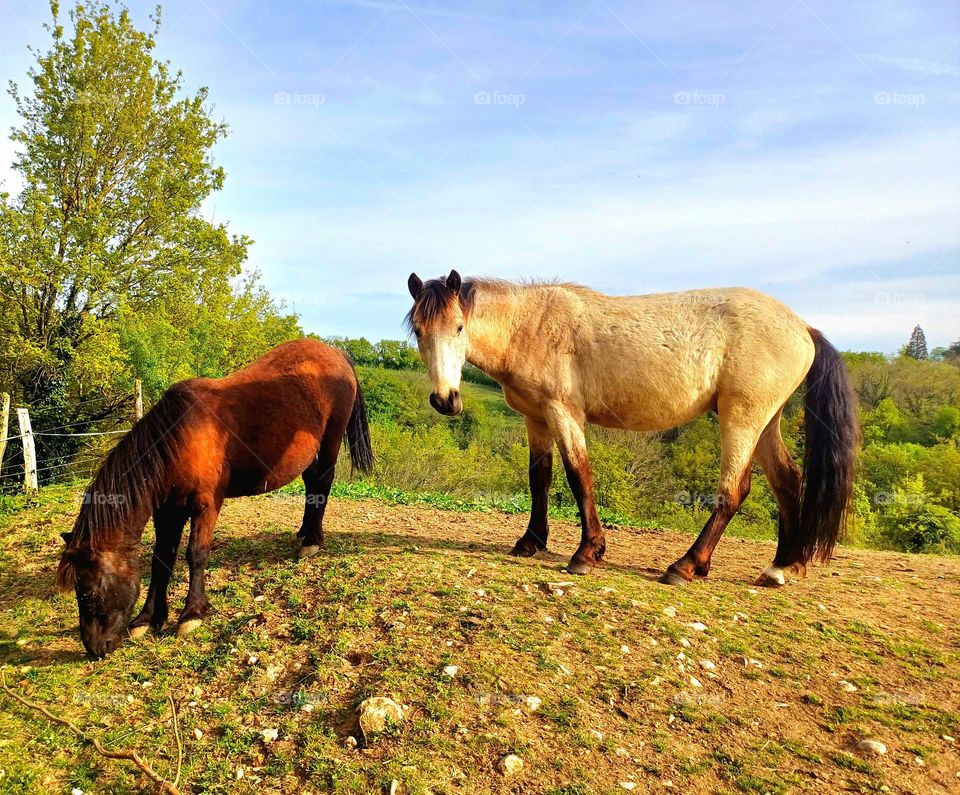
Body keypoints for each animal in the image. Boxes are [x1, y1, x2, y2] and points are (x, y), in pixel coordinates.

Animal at [57, 338, 373, 658]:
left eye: (88, 591)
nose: (95, 647)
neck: (179, 440)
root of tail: (335, 352)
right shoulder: (167, 511)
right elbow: (162, 558)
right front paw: (148, 618)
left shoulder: (204, 506)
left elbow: (196, 553)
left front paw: (191, 615)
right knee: (312, 484)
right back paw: (304, 532)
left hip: (331, 440)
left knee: (323, 483)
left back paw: (313, 540)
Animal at [406, 270, 859, 587]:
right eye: (419, 331)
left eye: (459, 327)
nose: (445, 400)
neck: (530, 326)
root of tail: (803, 328)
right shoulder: (536, 418)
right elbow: (540, 479)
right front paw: (531, 542)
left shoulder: (564, 413)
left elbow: (579, 477)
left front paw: (587, 554)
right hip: (765, 422)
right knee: (788, 481)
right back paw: (782, 567)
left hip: (742, 418)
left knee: (734, 491)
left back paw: (685, 566)